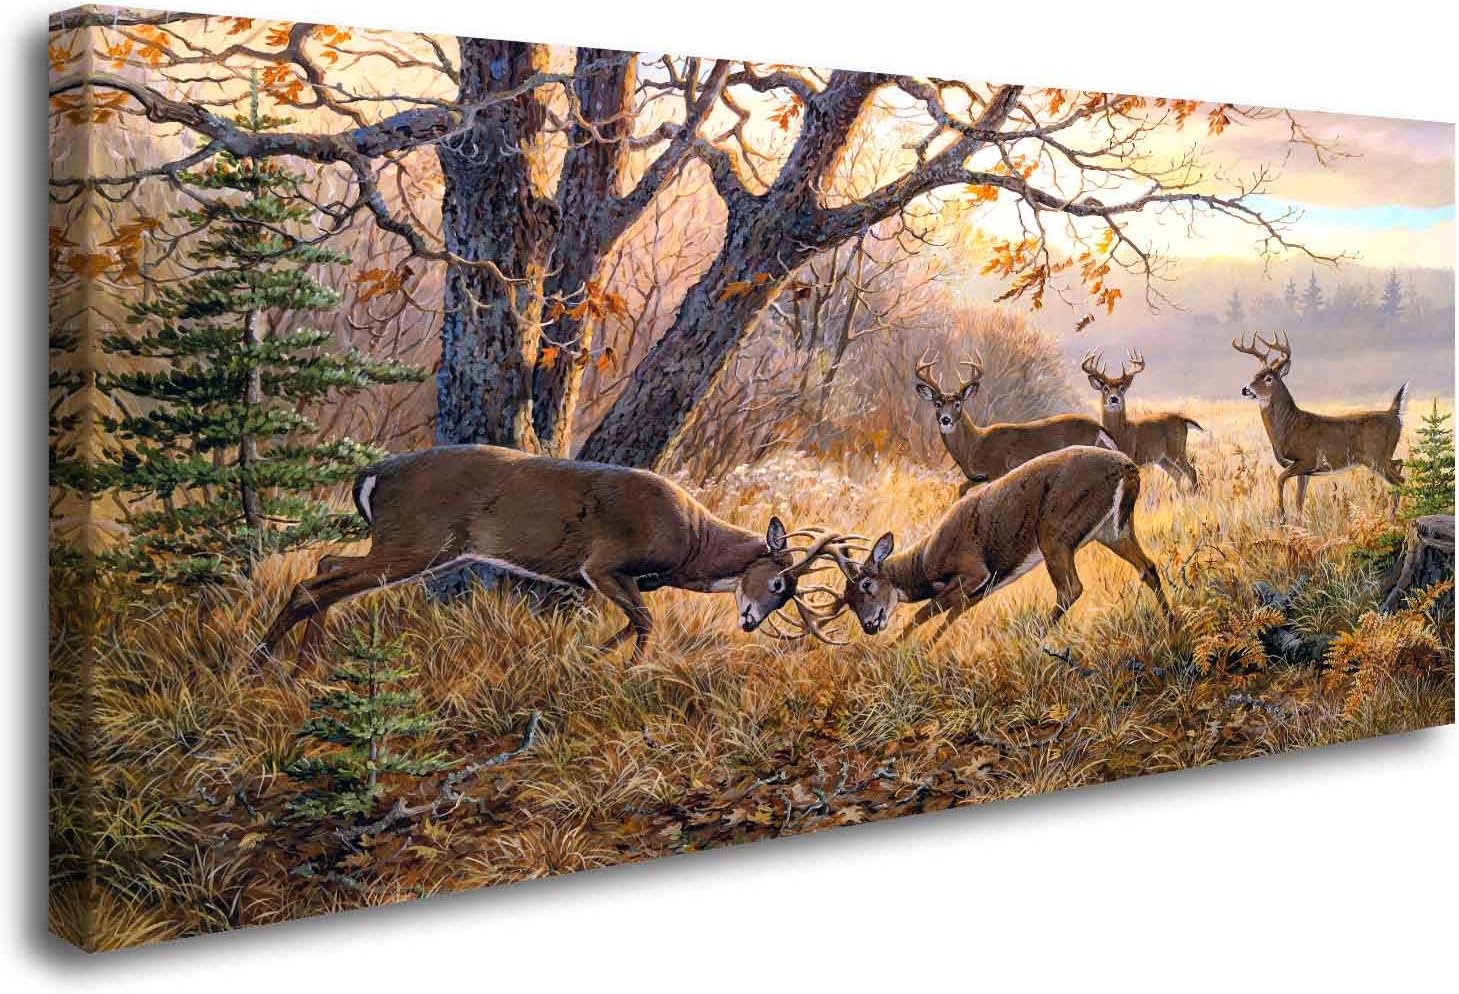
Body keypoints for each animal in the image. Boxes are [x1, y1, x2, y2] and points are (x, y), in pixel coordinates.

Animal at [252, 445, 855, 667]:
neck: (692, 544)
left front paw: (593, 656)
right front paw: (630, 669)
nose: (750, 622)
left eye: (787, 597)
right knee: (316, 582)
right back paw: (264, 663)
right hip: (415, 543)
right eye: (778, 584)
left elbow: (633, 620)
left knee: (327, 566)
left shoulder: (614, 579)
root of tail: (372, 475)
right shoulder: (604, 563)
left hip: (408, 547)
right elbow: (645, 621)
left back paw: (303, 666)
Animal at [827, 445, 1173, 645]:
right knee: (1148, 567)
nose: (870, 625)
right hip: (1113, 530)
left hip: (1054, 532)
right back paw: (1174, 624)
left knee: (1071, 588)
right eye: (847, 601)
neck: (925, 561)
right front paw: (925, 649)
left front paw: (896, 650)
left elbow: (925, 612)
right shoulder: (984, 587)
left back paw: (1034, 640)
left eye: (867, 584)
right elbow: (951, 615)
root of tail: (1128, 468)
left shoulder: (974, 570)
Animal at [913, 351, 1116, 494]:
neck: (972, 447)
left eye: (958, 403)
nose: (945, 419)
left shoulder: (998, 469)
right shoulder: (979, 476)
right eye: (937, 404)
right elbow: (961, 489)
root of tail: (1098, 426)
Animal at [1080, 349, 1203, 491]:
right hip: (1163, 459)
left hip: (1176, 449)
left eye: (1122, 388)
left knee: (1191, 471)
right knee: (1177, 475)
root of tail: (1183, 419)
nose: (1114, 398)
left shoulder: (1130, 456)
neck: (1120, 432)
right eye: (1105, 388)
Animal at [1232, 332, 1407, 518]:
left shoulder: (1306, 459)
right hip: (1383, 456)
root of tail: (1394, 414)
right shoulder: (1304, 471)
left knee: (1400, 480)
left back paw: (1394, 515)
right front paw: (1297, 520)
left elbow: (1280, 479)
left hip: (1375, 457)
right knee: (1400, 463)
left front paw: (1282, 516)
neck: (1288, 427)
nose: (1245, 389)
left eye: (1268, 378)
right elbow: (1299, 501)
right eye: (1254, 375)